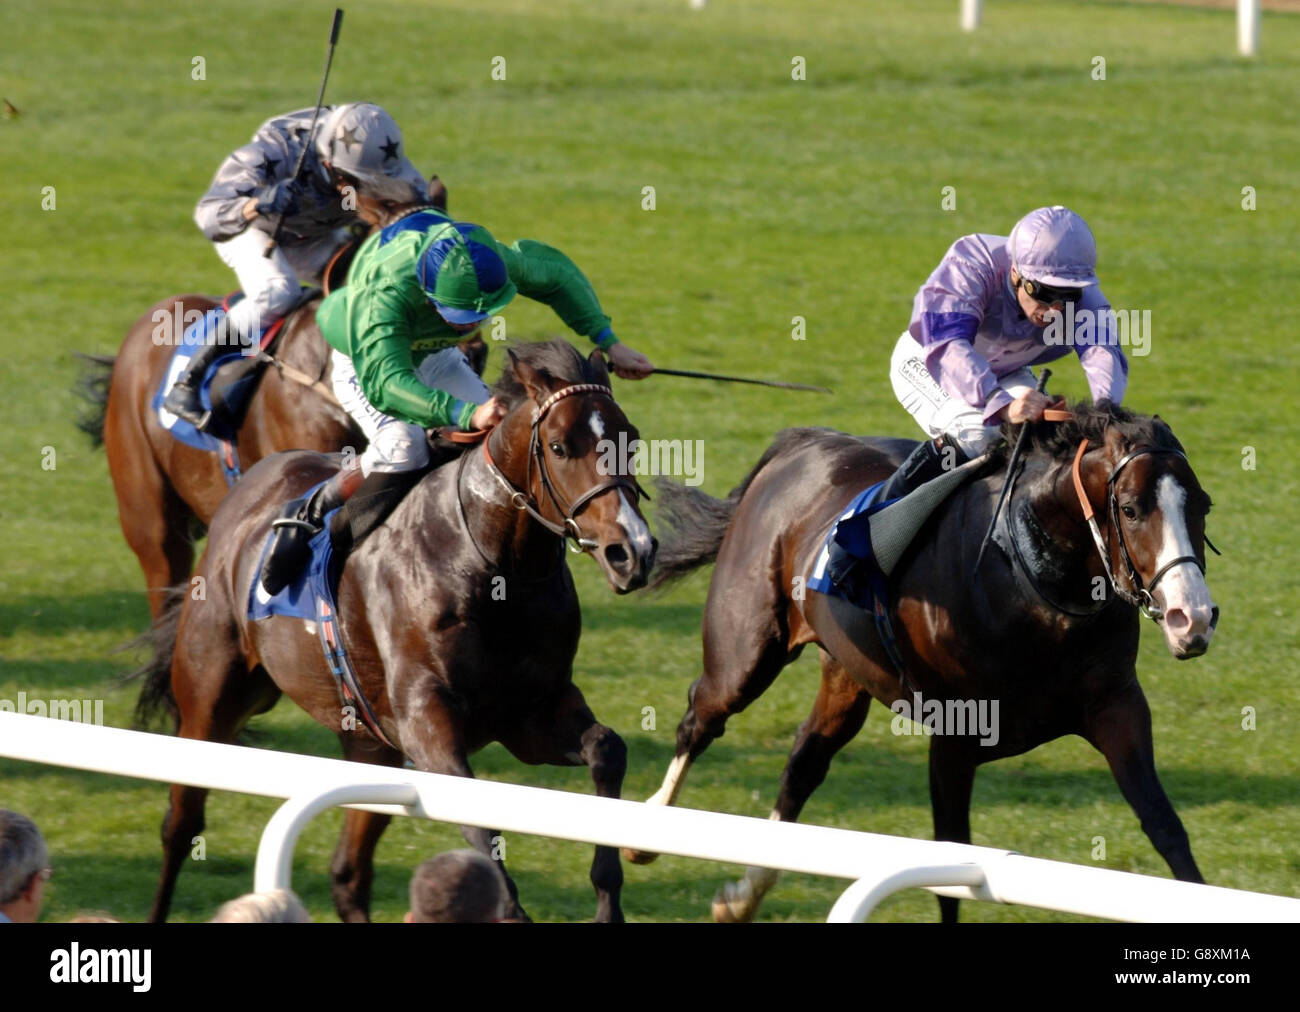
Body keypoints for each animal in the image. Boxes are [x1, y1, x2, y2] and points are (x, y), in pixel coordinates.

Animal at [137, 340, 655, 920]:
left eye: (631, 438)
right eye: (561, 446)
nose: (632, 551)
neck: (492, 566)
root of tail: (251, 486)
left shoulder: (530, 713)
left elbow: (608, 749)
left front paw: (608, 898)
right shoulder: (428, 719)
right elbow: (478, 818)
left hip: (369, 736)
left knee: (347, 873)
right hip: (210, 698)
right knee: (180, 826)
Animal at [629, 398, 1216, 920]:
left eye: (1202, 505)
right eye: (1131, 509)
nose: (1192, 618)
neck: (1029, 580)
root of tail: (800, 444)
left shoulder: (1116, 706)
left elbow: (1166, 828)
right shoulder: (954, 739)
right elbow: (950, 866)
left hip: (846, 674)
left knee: (804, 761)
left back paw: (743, 895)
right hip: (746, 648)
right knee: (700, 718)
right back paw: (645, 833)